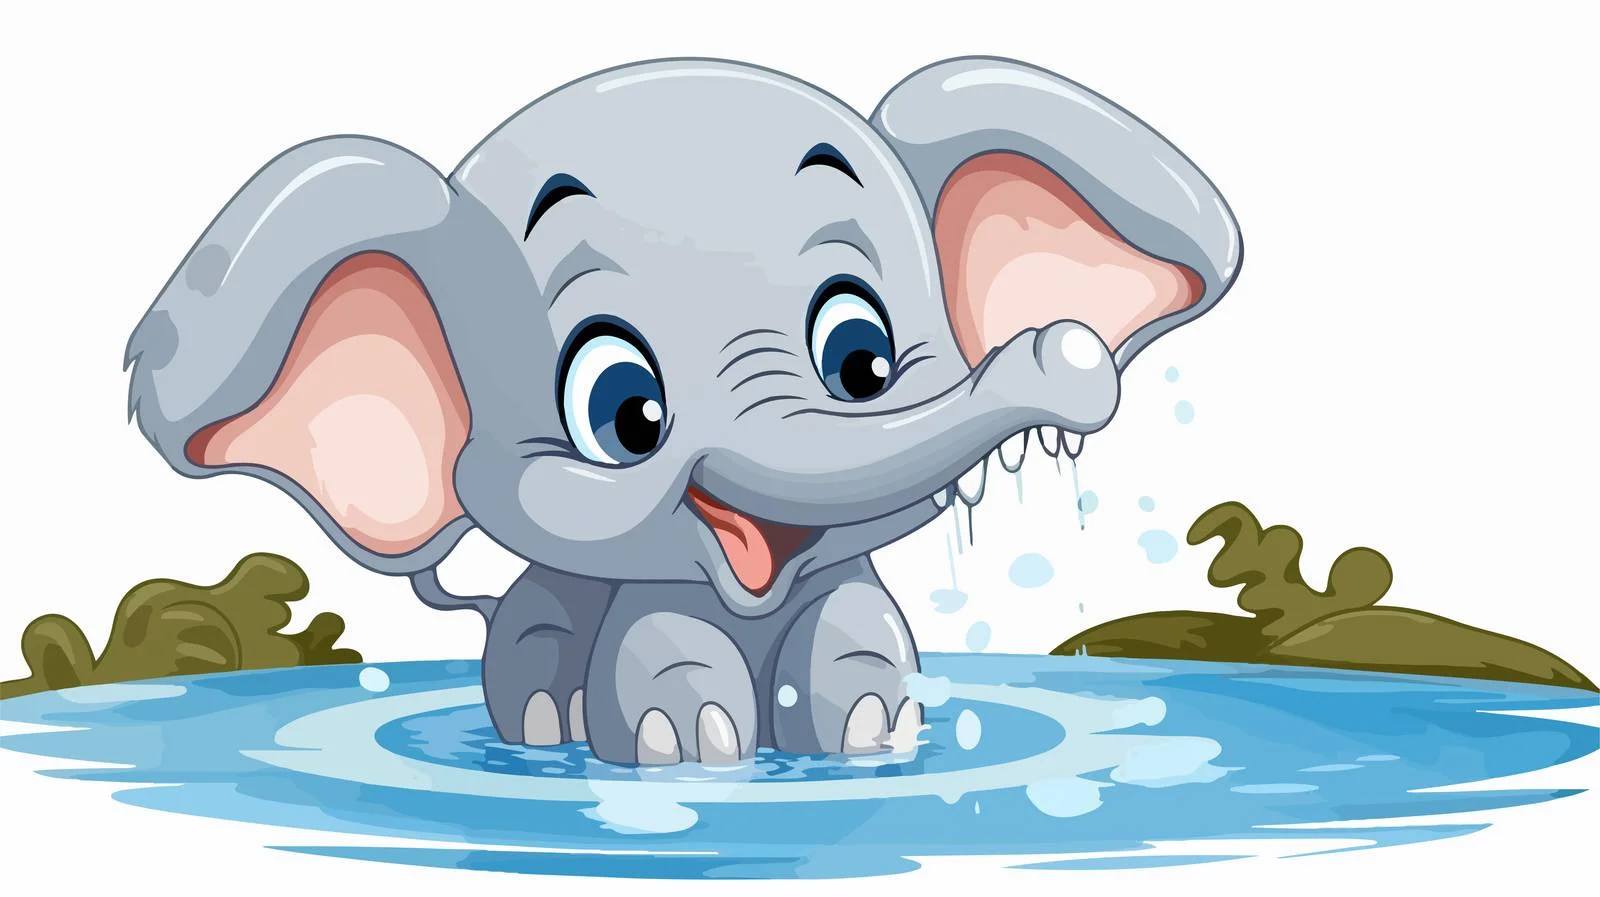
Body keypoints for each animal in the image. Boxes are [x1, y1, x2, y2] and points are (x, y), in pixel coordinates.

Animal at [124, 57, 1241, 765]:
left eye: (862, 359)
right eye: (625, 411)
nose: (1060, 352)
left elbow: (857, 638)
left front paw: (867, 737)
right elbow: (662, 654)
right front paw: (692, 754)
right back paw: (551, 726)